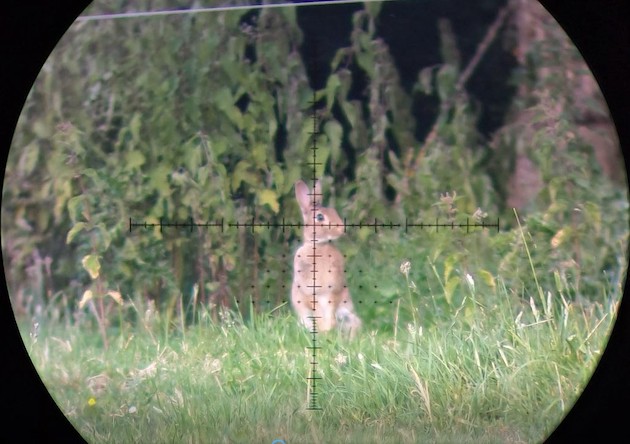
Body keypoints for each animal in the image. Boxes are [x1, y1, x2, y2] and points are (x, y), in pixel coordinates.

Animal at [292, 180, 360, 336]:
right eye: (320, 217)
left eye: (334, 211)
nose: (342, 228)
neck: (319, 246)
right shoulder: (308, 291)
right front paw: (324, 330)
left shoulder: (334, 289)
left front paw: (327, 329)